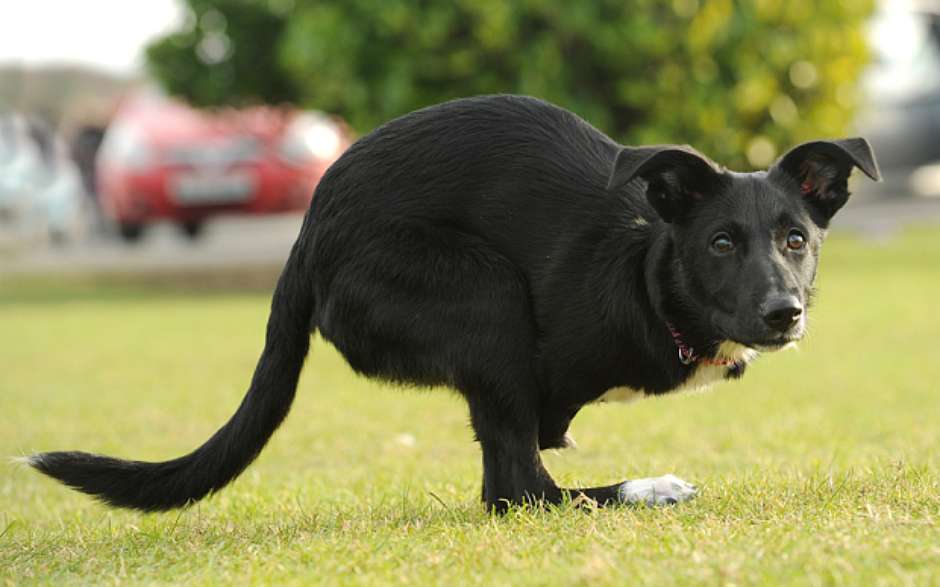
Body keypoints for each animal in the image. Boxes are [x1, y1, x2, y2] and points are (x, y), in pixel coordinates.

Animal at [29, 96, 880, 516]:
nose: (784, 313)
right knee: (516, 491)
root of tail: (307, 235)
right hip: (483, 294)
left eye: (796, 239)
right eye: (722, 243)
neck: (646, 271)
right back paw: (650, 488)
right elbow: (526, 463)